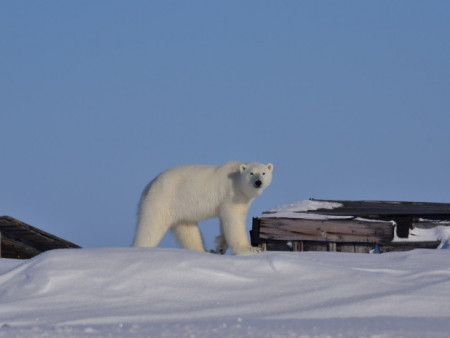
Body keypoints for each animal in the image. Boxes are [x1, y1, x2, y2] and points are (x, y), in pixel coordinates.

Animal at [132, 161, 272, 254]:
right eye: (251, 173)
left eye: (264, 173)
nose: (258, 182)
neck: (237, 180)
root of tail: (150, 185)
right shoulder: (231, 195)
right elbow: (234, 220)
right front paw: (250, 249)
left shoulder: (240, 200)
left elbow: (225, 221)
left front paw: (220, 247)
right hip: (161, 200)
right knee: (150, 228)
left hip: (181, 210)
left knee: (188, 231)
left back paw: (204, 250)